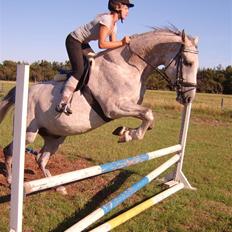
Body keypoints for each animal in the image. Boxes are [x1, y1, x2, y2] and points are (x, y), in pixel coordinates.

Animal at [0, 27, 199, 194]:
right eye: (188, 63)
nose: (189, 98)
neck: (129, 66)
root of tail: (22, 91)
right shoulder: (114, 108)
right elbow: (148, 114)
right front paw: (127, 135)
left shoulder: (129, 107)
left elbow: (147, 118)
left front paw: (124, 131)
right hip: (28, 133)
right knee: (9, 151)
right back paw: (10, 181)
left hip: (55, 137)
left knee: (41, 159)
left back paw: (57, 187)